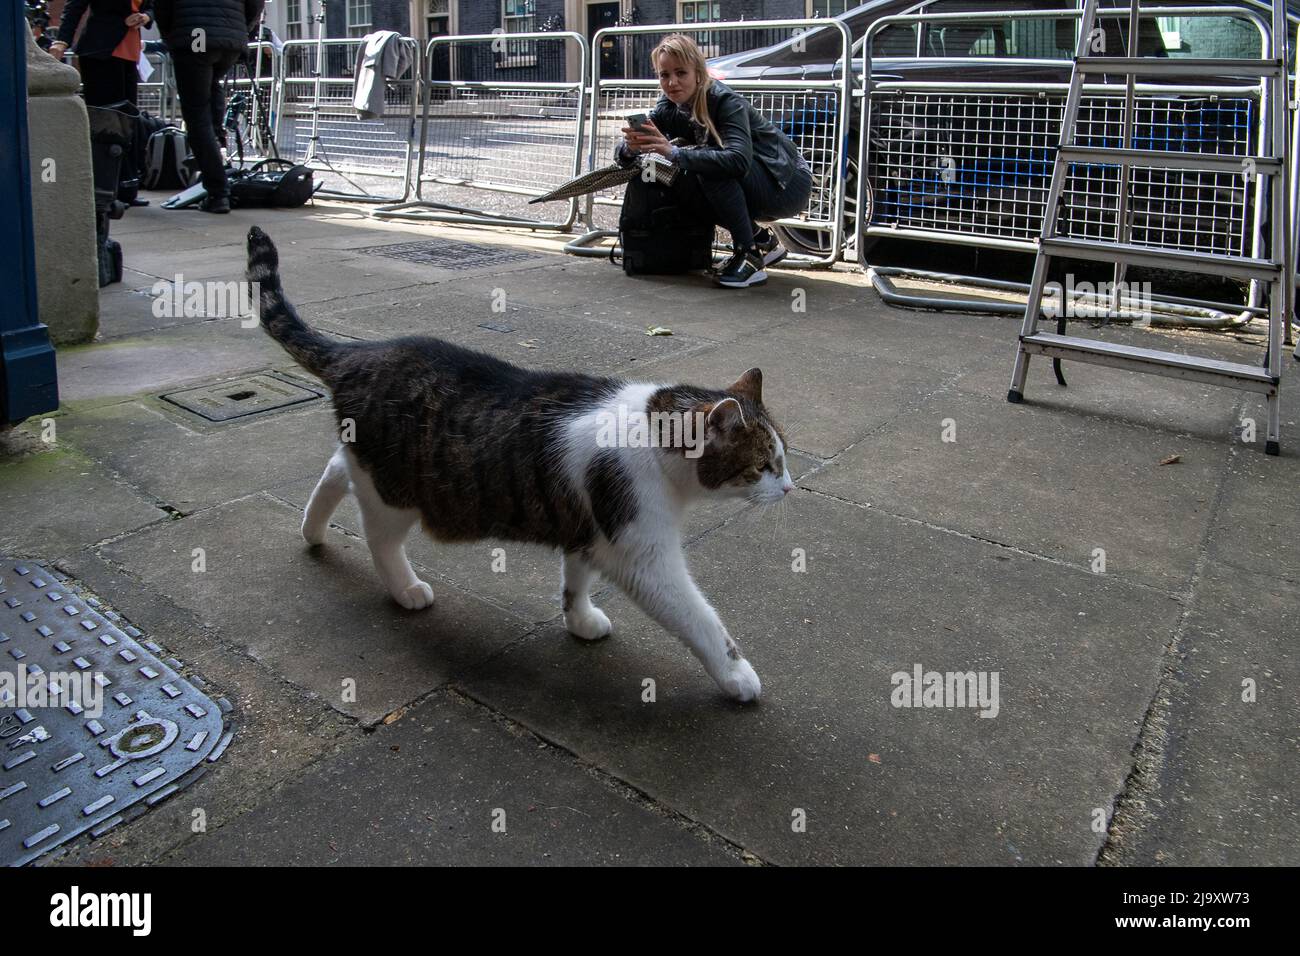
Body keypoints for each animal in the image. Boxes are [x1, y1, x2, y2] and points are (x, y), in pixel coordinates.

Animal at [244, 227, 790, 697]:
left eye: (782, 460)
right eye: (763, 466)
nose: (788, 489)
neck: (654, 431)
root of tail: (355, 354)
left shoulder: (587, 528)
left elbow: (577, 578)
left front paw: (579, 619)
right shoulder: (644, 554)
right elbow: (701, 619)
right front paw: (737, 675)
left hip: (370, 468)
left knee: (337, 468)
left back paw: (312, 529)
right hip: (394, 494)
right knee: (379, 537)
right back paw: (405, 588)